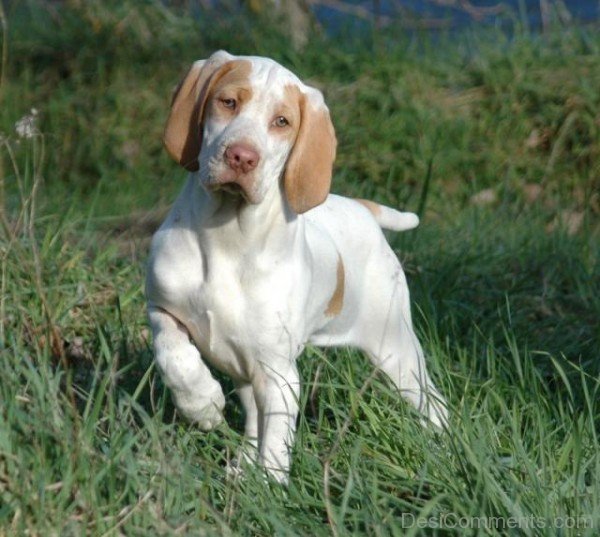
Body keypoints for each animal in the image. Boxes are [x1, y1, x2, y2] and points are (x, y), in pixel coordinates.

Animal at [146, 52, 446, 484]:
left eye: (282, 122)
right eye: (228, 102)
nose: (241, 157)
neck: (227, 236)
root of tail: (363, 208)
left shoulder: (279, 373)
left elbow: (276, 440)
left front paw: (269, 486)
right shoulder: (162, 306)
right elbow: (173, 354)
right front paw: (201, 404)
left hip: (395, 347)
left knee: (433, 403)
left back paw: (444, 451)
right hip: (248, 368)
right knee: (253, 417)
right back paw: (240, 465)